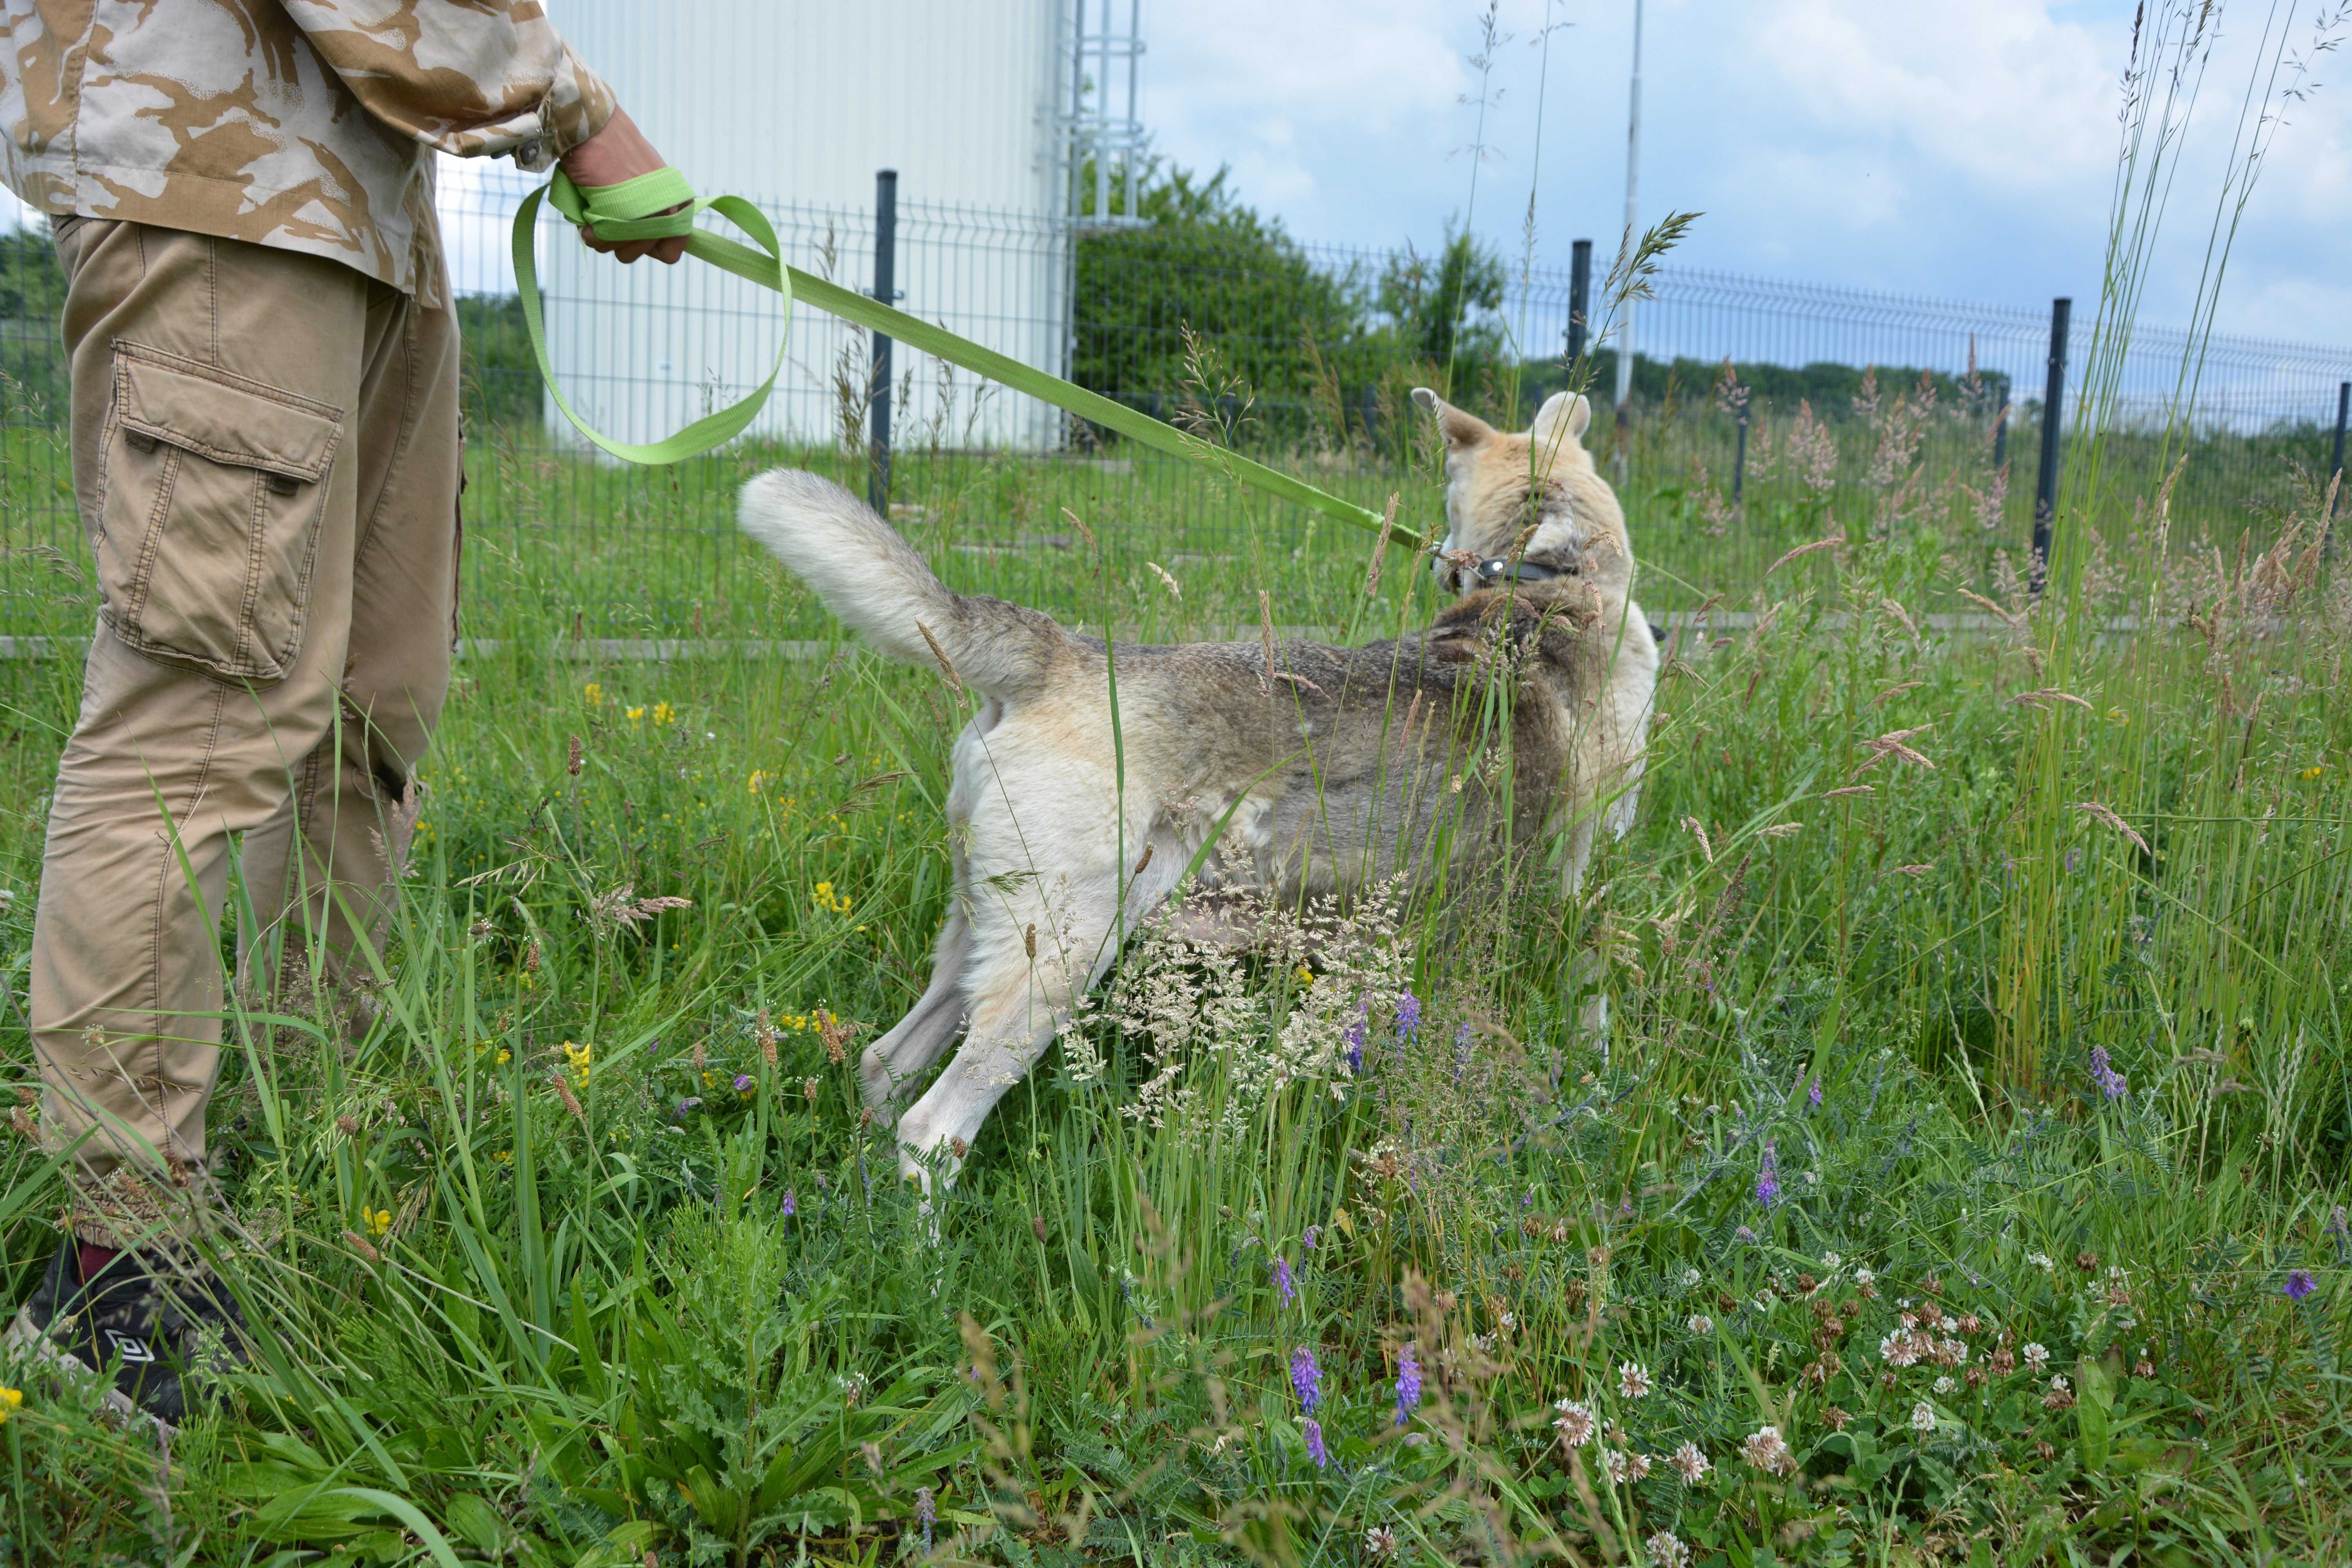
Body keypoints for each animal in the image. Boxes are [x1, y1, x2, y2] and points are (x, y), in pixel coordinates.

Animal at [739, 383, 1656, 1189]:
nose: (1444, 570)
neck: (1554, 577)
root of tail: (1060, 655)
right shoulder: (1576, 887)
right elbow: (1592, 1001)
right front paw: (1598, 1082)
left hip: (977, 937)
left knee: (883, 1066)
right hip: (1059, 964)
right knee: (932, 1129)